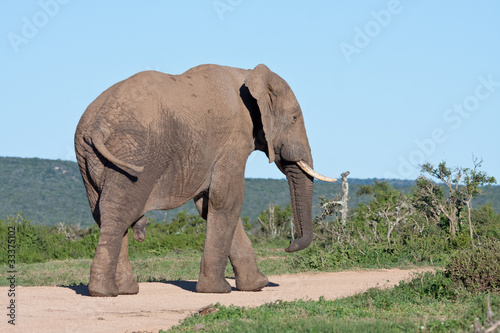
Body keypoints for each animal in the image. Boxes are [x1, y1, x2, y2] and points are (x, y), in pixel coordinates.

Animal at [75, 63, 336, 296]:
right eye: (294, 118)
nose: (288, 246)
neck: (247, 74)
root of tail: (98, 125)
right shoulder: (233, 140)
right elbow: (227, 199)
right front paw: (218, 290)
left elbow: (208, 204)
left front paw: (257, 285)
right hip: (136, 153)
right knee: (120, 212)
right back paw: (105, 292)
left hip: (89, 156)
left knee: (103, 213)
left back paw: (125, 291)